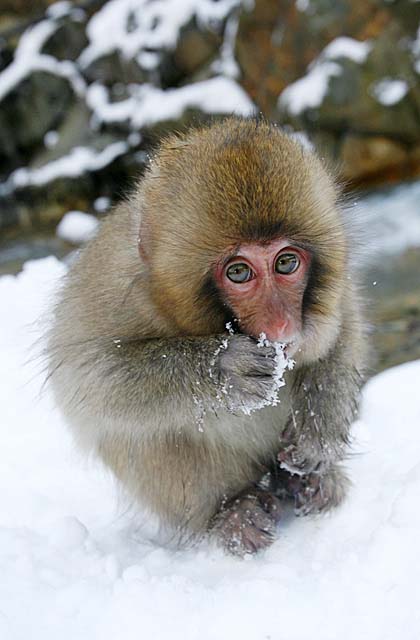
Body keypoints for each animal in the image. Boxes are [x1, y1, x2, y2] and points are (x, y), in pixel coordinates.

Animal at [47, 119, 366, 556]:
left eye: (286, 262)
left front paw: (321, 428)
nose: (281, 327)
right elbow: (87, 380)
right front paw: (226, 367)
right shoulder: (110, 287)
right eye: (238, 272)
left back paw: (304, 483)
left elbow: (343, 322)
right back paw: (232, 510)